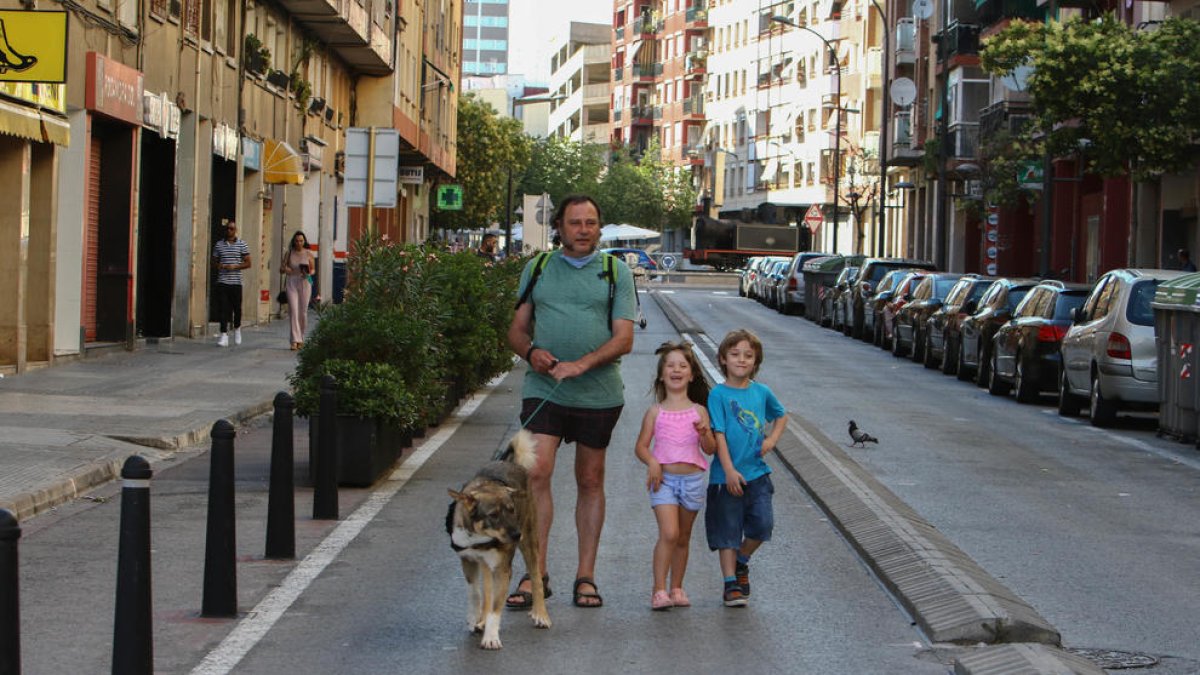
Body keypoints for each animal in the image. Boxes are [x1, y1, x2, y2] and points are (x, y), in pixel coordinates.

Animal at [446, 427, 549, 648]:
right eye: (493, 515)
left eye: (512, 510)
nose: (516, 534)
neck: (479, 537)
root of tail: (510, 462)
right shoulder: (468, 561)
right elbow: (476, 593)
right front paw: (474, 618)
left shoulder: (502, 569)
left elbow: (496, 607)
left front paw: (491, 637)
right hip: (487, 563)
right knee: (486, 589)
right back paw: (481, 619)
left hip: (530, 542)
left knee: (536, 578)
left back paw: (541, 614)